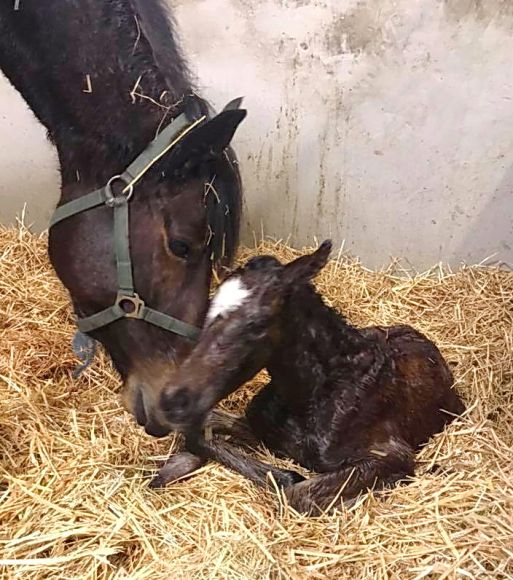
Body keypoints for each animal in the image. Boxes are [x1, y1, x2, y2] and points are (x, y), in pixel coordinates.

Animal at [153, 240, 464, 512]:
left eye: (258, 324)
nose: (173, 399)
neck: (314, 395)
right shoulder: (262, 430)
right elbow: (201, 432)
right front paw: (172, 469)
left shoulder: (391, 456)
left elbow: (296, 492)